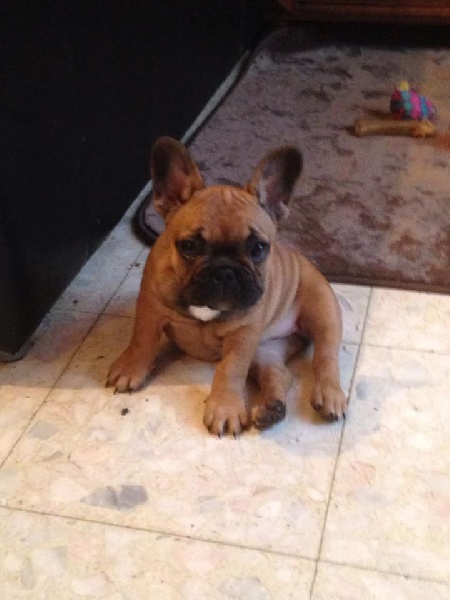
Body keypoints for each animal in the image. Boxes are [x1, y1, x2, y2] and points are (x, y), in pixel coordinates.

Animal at [107, 137, 347, 436]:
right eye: (189, 246)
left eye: (258, 248)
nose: (225, 271)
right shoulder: (151, 309)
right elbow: (141, 341)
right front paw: (130, 369)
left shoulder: (242, 335)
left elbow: (230, 370)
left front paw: (225, 408)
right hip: (265, 350)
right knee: (279, 372)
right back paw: (271, 409)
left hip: (322, 310)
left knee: (326, 357)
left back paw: (330, 395)